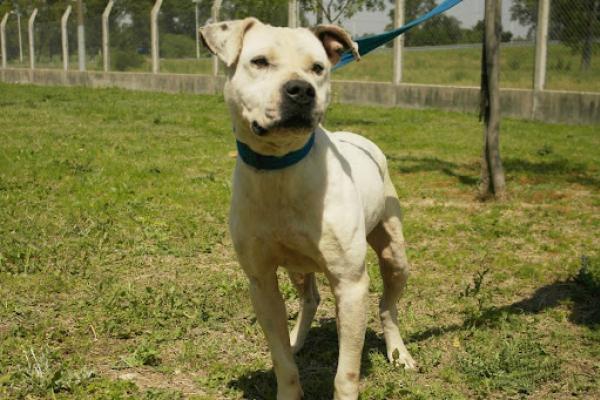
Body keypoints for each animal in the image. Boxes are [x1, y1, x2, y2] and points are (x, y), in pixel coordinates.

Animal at [199, 17, 414, 398]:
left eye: (318, 68)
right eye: (259, 62)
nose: (301, 90)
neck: (280, 168)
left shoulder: (350, 283)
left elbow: (346, 372)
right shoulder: (261, 282)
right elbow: (281, 360)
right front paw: (288, 381)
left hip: (394, 255)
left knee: (387, 308)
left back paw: (398, 353)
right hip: (296, 267)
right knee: (309, 298)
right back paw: (298, 338)